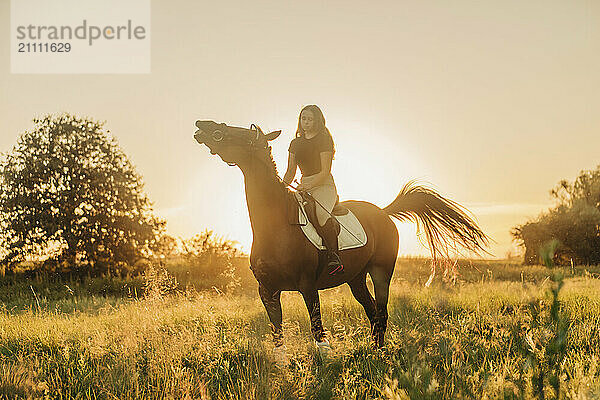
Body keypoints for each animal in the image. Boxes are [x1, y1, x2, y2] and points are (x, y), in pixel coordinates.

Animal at [193, 119, 488, 354]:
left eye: (239, 133)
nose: (201, 125)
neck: (276, 224)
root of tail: (382, 212)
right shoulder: (267, 289)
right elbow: (278, 335)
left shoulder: (307, 285)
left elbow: (317, 330)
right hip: (355, 278)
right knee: (372, 311)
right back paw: (374, 351)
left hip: (381, 272)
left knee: (381, 311)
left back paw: (379, 355)